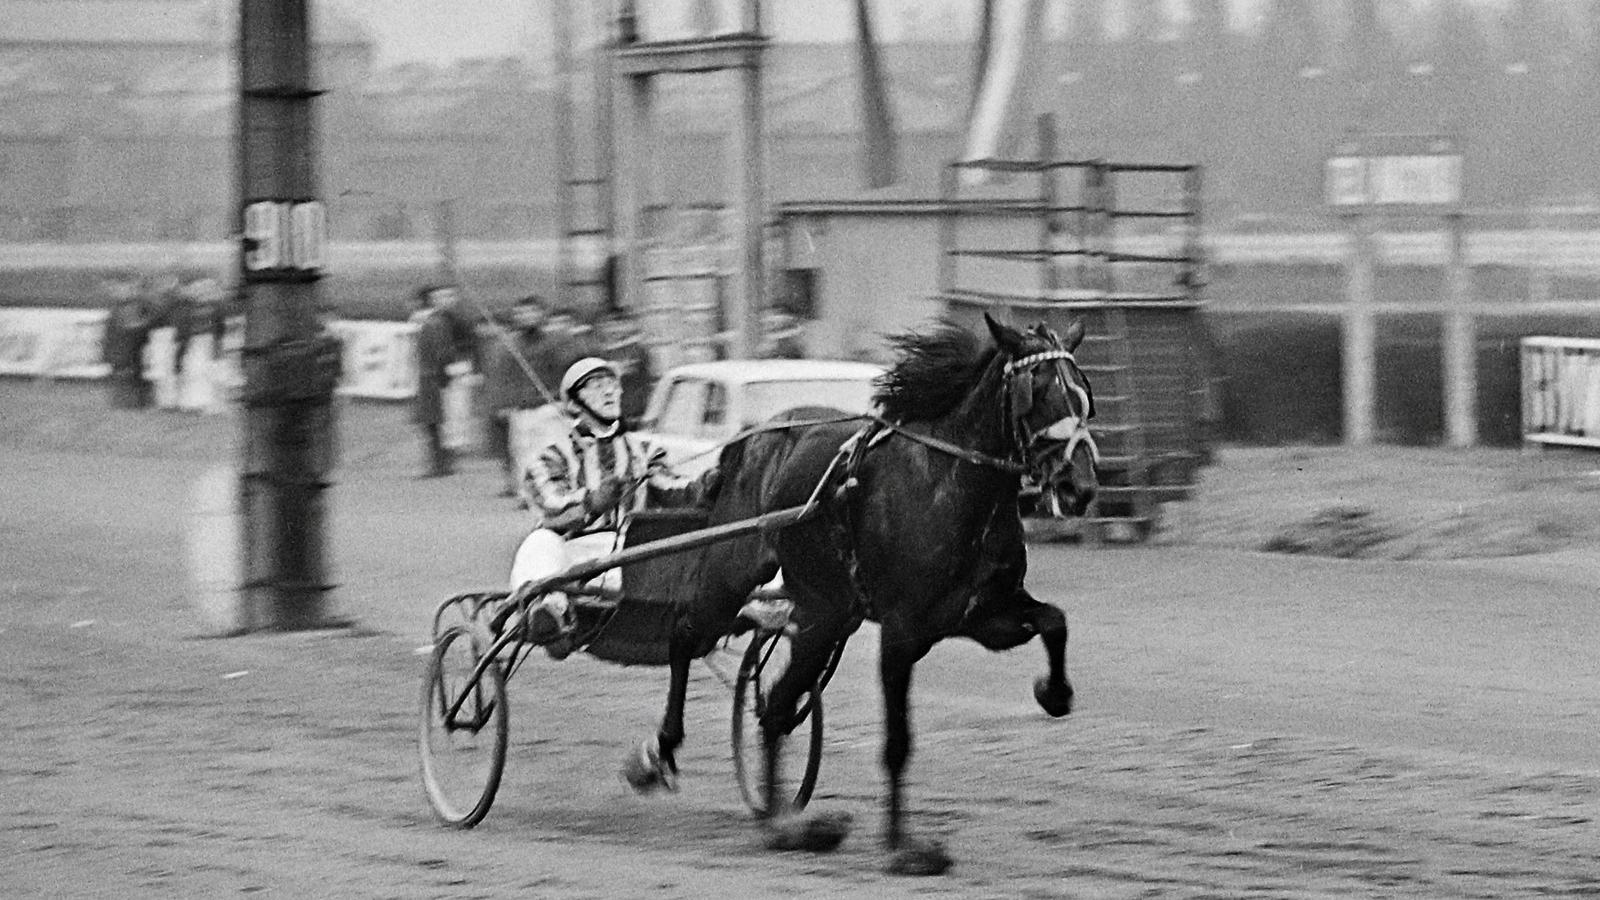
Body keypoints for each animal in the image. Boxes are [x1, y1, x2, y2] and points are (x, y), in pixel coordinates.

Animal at [630, 312, 1094, 871]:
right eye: (1038, 392)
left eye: (1083, 392)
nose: (1079, 487)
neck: (948, 483)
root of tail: (750, 439)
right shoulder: (901, 632)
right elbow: (897, 740)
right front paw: (902, 846)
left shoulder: (983, 615)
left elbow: (1055, 620)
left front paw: (1054, 692)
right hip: (736, 572)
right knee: (687, 635)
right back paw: (663, 755)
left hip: (824, 616)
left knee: (776, 709)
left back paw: (785, 825)